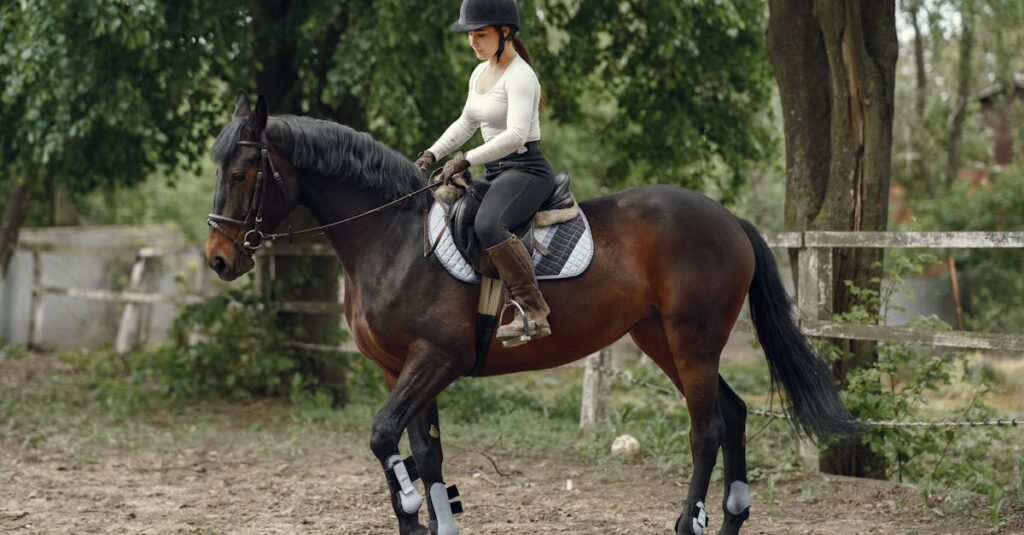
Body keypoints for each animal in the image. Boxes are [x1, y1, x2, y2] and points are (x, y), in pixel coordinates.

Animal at [204, 92, 858, 535]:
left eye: (239, 172)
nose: (218, 258)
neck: (392, 238)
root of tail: (728, 220)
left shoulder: (436, 359)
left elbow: (385, 437)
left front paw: (415, 511)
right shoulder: (401, 369)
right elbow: (425, 452)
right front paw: (435, 518)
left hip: (692, 339)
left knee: (708, 428)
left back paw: (689, 521)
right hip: (660, 339)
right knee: (734, 412)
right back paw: (729, 517)